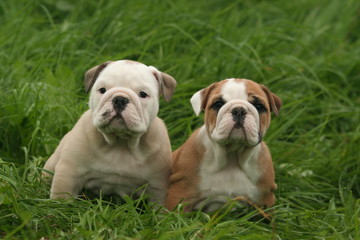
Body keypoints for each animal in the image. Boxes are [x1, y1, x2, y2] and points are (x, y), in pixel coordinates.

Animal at [43, 60, 177, 204]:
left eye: (143, 94)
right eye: (102, 90)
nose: (120, 99)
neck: (120, 142)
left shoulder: (157, 186)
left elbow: (159, 206)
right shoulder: (69, 172)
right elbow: (62, 197)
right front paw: (58, 206)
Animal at [166, 78, 282, 211]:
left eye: (259, 106)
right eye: (218, 104)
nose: (239, 110)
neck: (232, 155)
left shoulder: (265, 199)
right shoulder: (179, 195)